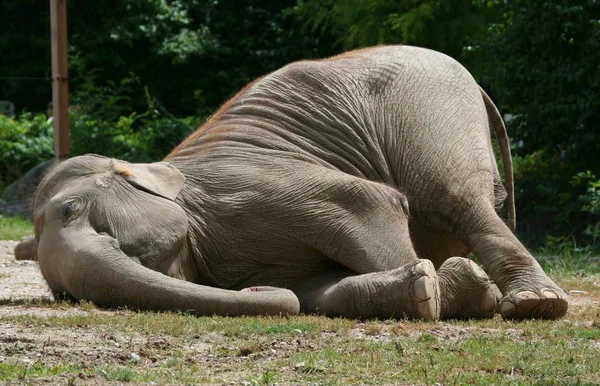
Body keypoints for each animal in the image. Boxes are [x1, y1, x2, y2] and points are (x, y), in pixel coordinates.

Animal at [31, 45, 568, 320]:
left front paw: (452, 291)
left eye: (72, 210)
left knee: (455, 199)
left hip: (431, 111)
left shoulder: (252, 187)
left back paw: (534, 306)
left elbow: (368, 203)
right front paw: (435, 287)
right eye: (62, 296)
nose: (254, 290)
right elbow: (316, 291)